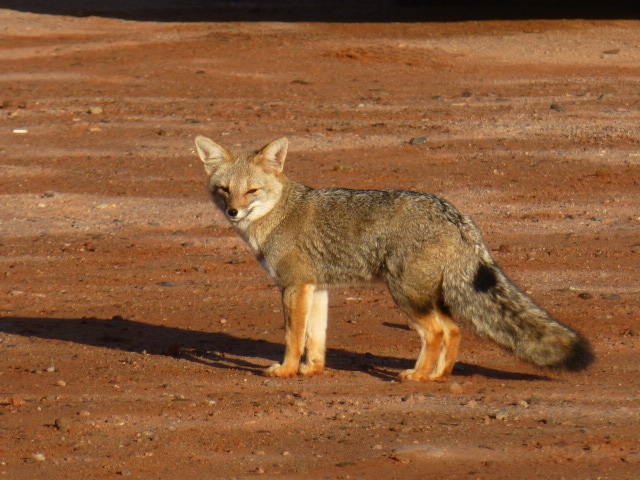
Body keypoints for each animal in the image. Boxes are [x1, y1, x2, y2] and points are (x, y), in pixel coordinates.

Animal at [194, 135, 596, 382]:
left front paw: (287, 370)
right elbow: (315, 337)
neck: (279, 214)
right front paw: (312, 370)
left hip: (405, 295)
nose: (232, 212)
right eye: (224, 190)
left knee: (436, 332)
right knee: (453, 330)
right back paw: (438, 375)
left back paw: (417, 376)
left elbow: (294, 336)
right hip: (427, 295)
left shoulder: (294, 286)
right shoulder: (316, 287)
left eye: (252, 191)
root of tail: (457, 214)